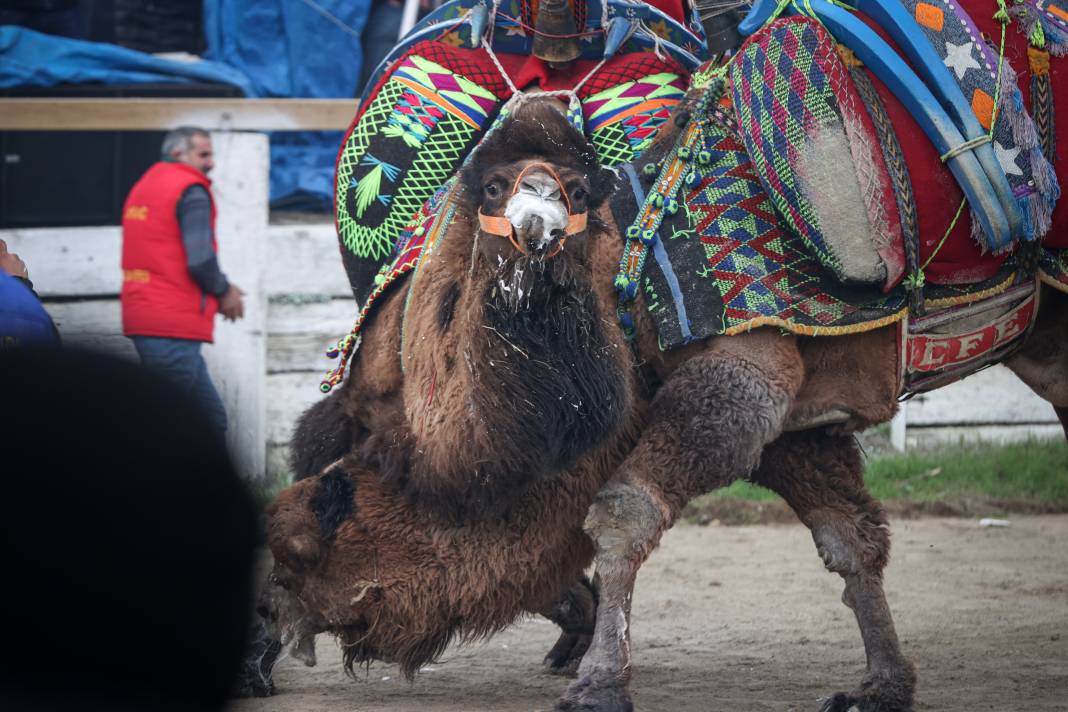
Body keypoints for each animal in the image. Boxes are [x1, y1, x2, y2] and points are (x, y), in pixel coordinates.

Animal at [258, 87, 1068, 712]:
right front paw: (882, 684)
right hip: (1045, 342)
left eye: (303, 544)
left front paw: (598, 684)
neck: (632, 284)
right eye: (490, 186)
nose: (272, 620)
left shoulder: (741, 371)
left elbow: (622, 515)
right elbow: (851, 538)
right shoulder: (791, 420)